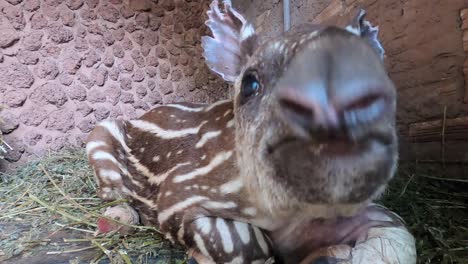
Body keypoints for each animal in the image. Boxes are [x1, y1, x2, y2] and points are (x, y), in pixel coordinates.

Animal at [87, 1, 416, 262]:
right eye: (250, 83)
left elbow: (396, 229)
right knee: (110, 188)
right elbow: (248, 245)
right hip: (101, 136)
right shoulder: (180, 194)